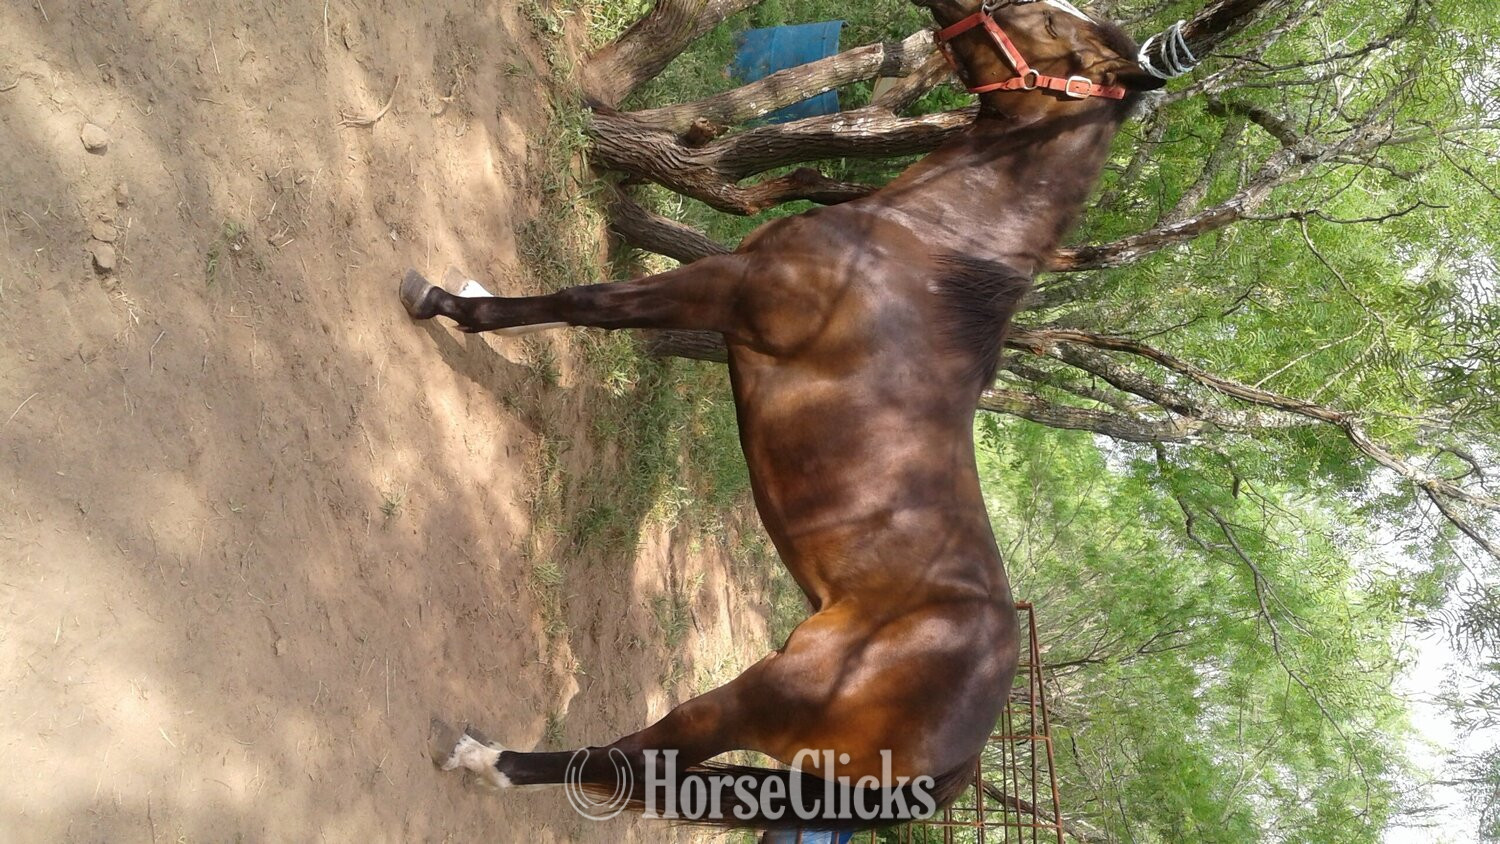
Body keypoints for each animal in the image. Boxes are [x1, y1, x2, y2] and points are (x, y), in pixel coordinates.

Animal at [402, 0, 1165, 831]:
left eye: (1054, 26)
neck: (926, 246)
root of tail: (963, 759)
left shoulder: (726, 288)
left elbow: (588, 302)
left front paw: (445, 304)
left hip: (759, 697)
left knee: (630, 759)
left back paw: (484, 760)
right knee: (637, 775)